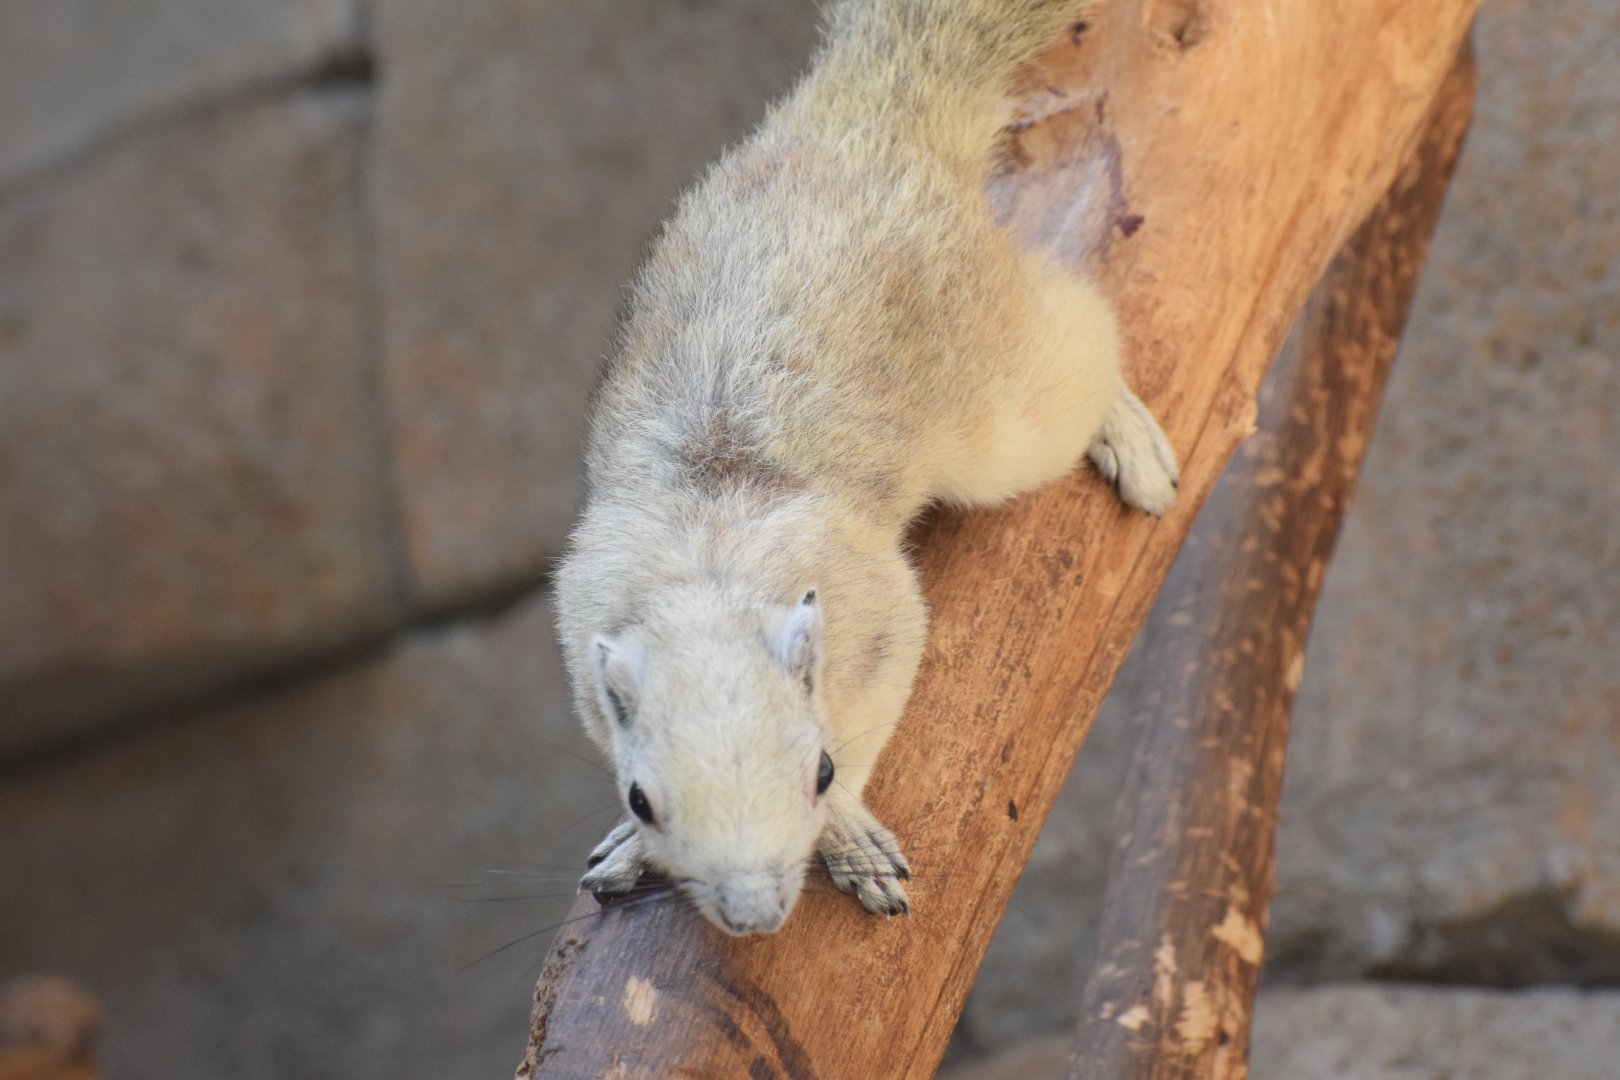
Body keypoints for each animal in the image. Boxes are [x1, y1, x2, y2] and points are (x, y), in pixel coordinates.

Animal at [554, 0, 1178, 937]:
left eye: (816, 769)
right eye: (640, 798)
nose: (753, 914)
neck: (709, 567)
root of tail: (866, 114)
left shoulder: (880, 612)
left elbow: (884, 696)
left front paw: (852, 836)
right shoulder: (585, 632)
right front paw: (629, 853)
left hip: (1002, 412)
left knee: (1085, 331)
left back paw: (1127, 430)